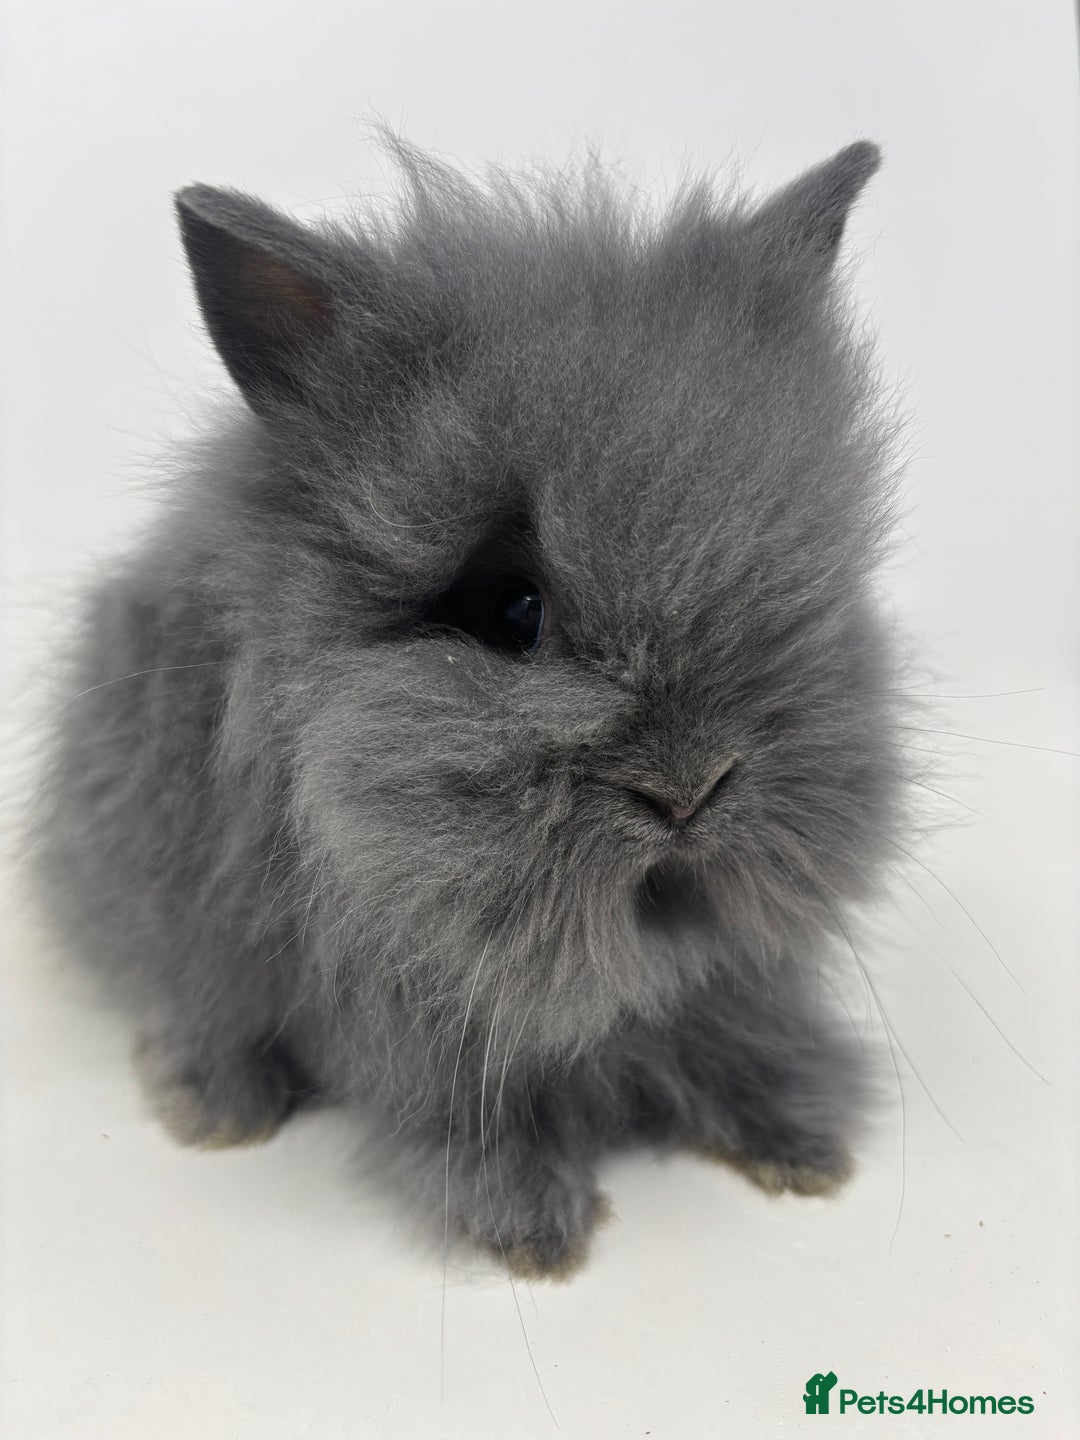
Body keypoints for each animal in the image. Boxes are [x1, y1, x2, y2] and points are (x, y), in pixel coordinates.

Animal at [34, 135, 907, 1278]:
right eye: (511, 609)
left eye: (800, 576)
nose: (689, 791)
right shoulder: (414, 1010)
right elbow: (472, 1110)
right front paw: (532, 1231)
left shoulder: (730, 973)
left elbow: (737, 1034)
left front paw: (801, 1145)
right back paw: (218, 1108)